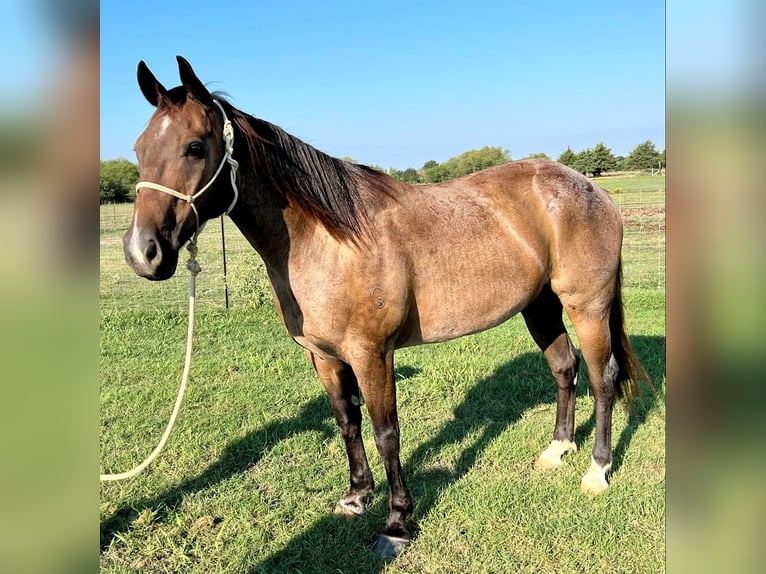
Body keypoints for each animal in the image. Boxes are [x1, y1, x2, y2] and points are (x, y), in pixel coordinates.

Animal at [124, 56, 648, 560]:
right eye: (138, 149)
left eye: (194, 147)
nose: (142, 253)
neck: (329, 241)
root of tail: (590, 187)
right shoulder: (325, 356)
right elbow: (347, 422)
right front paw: (357, 496)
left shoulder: (372, 354)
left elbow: (385, 433)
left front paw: (396, 523)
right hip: (539, 305)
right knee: (564, 366)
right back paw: (557, 450)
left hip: (587, 306)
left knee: (601, 378)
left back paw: (597, 471)